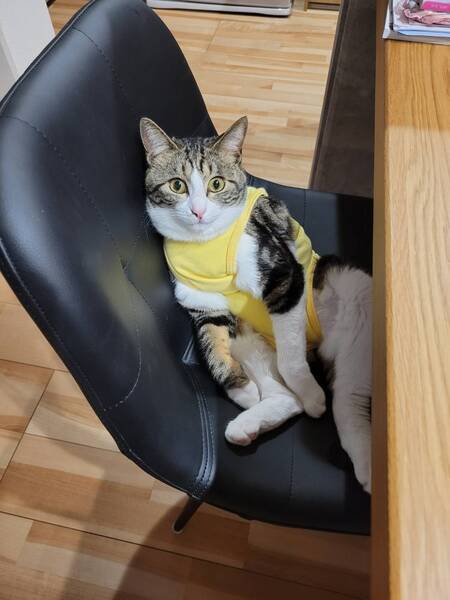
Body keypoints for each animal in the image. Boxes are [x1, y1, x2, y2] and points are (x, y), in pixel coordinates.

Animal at [140, 116, 372, 493]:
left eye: (216, 183)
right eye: (177, 185)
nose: (198, 212)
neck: (205, 244)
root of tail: (322, 351)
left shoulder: (284, 278)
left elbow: (291, 361)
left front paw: (312, 395)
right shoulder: (203, 306)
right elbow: (212, 349)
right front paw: (243, 390)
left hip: (351, 295)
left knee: (346, 396)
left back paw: (364, 461)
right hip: (250, 338)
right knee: (297, 399)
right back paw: (249, 423)